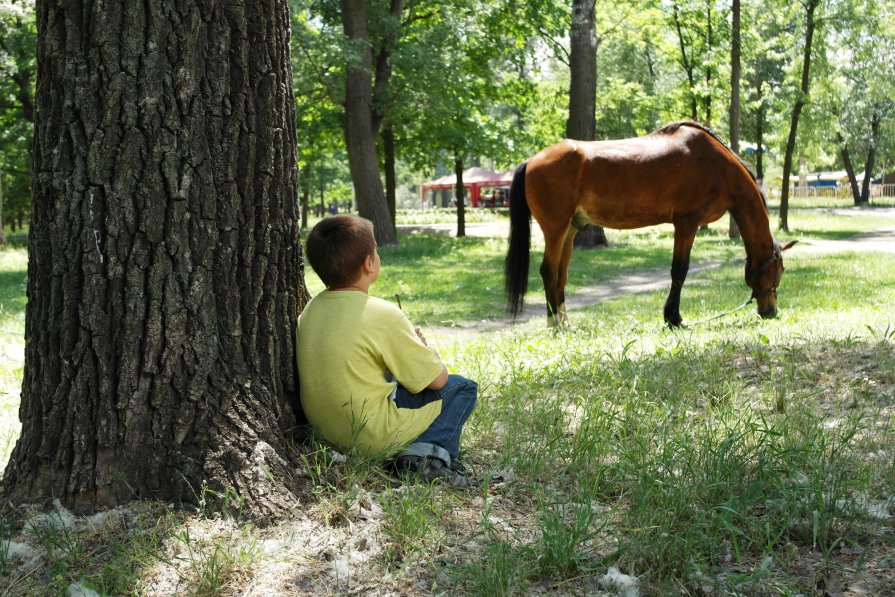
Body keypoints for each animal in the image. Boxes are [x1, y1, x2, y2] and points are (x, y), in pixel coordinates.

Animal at [504, 120, 800, 326]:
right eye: (780, 270)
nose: (770, 311)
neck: (718, 166)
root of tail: (530, 161)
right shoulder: (687, 222)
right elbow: (679, 271)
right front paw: (673, 318)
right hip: (555, 229)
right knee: (548, 272)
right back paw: (555, 325)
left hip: (571, 229)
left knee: (560, 276)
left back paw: (566, 324)